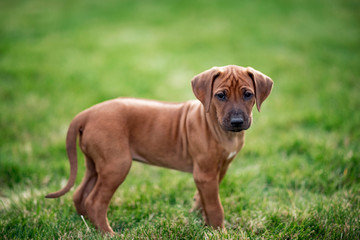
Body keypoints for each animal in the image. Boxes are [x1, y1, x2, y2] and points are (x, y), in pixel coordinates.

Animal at [46, 65, 274, 234]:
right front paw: (220, 231)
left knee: (79, 195)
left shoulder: (219, 170)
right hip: (116, 165)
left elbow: (204, 200)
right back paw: (108, 233)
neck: (218, 128)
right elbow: (216, 206)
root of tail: (87, 113)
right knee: (94, 201)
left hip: (94, 163)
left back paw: (87, 225)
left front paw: (204, 223)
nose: (237, 122)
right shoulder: (205, 173)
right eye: (220, 95)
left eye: (248, 94)